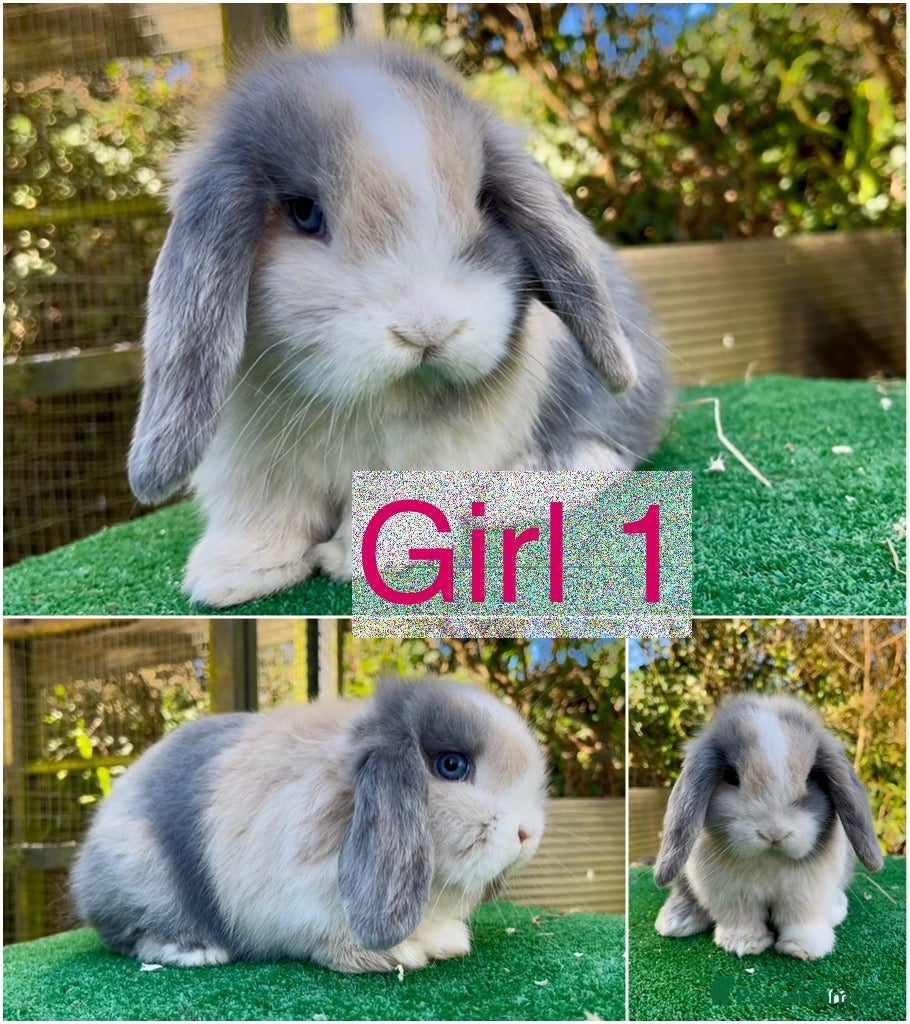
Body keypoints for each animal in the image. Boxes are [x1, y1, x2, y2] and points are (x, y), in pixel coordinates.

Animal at [70, 678, 547, 972]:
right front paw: (396, 955)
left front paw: (448, 942)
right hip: (141, 870)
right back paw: (194, 950)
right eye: (452, 765)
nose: (527, 835)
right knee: (129, 935)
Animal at [126, 41, 673, 607]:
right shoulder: (252, 465)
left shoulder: (435, 450)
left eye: (482, 201)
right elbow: (264, 513)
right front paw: (230, 575)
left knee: (603, 452)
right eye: (304, 213)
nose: (429, 329)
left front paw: (359, 559)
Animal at [652, 692, 883, 961]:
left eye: (810, 779)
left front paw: (804, 948)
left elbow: (801, 915)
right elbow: (741, 916)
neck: (769, 858)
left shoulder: (807, 889)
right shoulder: (731, 893)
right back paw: (676, 921)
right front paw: (743, 943)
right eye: (731, 777)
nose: (774, 834)